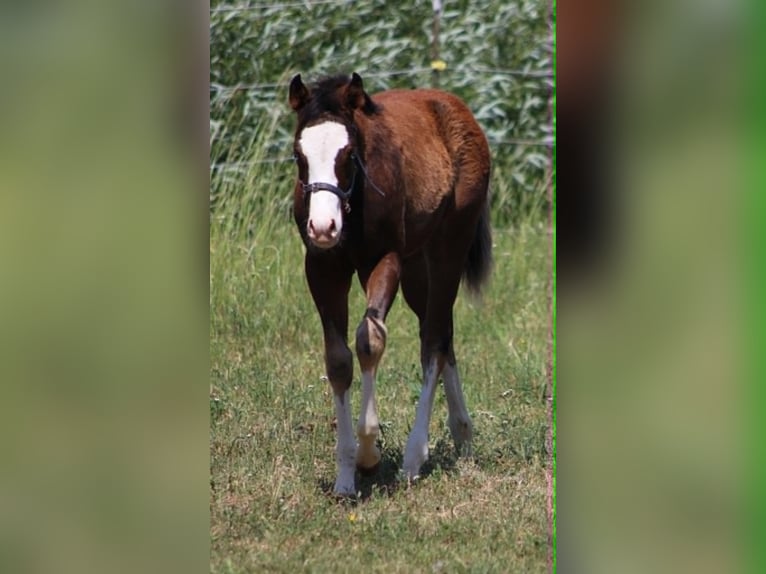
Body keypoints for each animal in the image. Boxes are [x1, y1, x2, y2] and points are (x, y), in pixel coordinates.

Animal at [289, 72, 492, 496]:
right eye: (300, 155)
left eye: (349, 154)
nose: (323, 227)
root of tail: (456, 107)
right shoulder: (322, 267)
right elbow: (338, 359)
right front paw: (345, 476)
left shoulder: (384, 261)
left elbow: (370, 339)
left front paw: (369, 454)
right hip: (417, 266)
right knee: (442, 332)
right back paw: (463, 436)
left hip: (448, 247)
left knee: (433, 340)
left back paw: (414, 458)